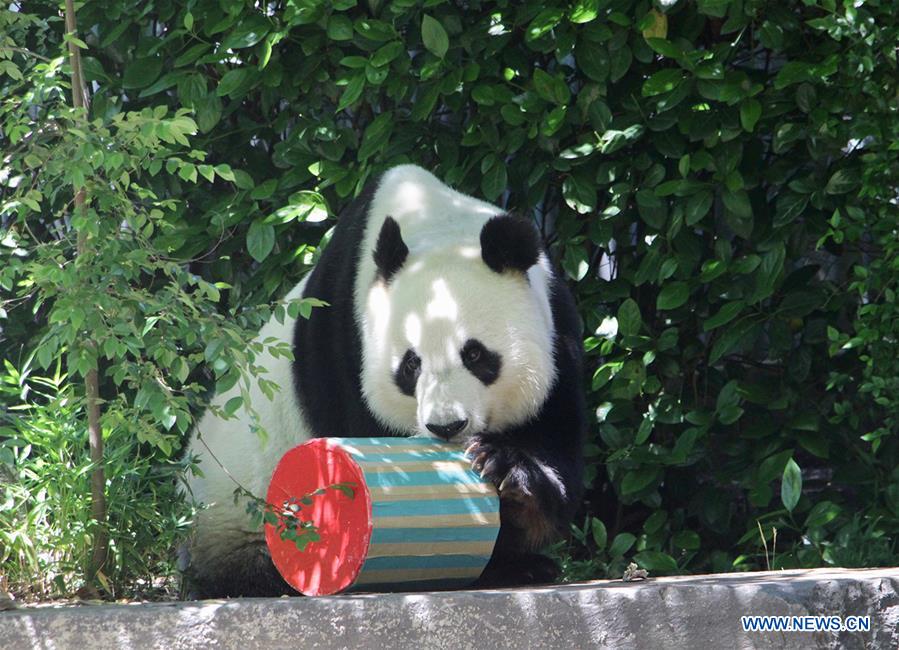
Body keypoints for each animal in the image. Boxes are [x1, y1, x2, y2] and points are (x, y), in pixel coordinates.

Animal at [186, 163, 588, 596]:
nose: (447, 426)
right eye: (410, 365)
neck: (434, 222)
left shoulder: (557, 331)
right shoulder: (346, 342)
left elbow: (556, 440)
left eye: (475, 354)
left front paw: (506, 471)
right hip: (231, 514)